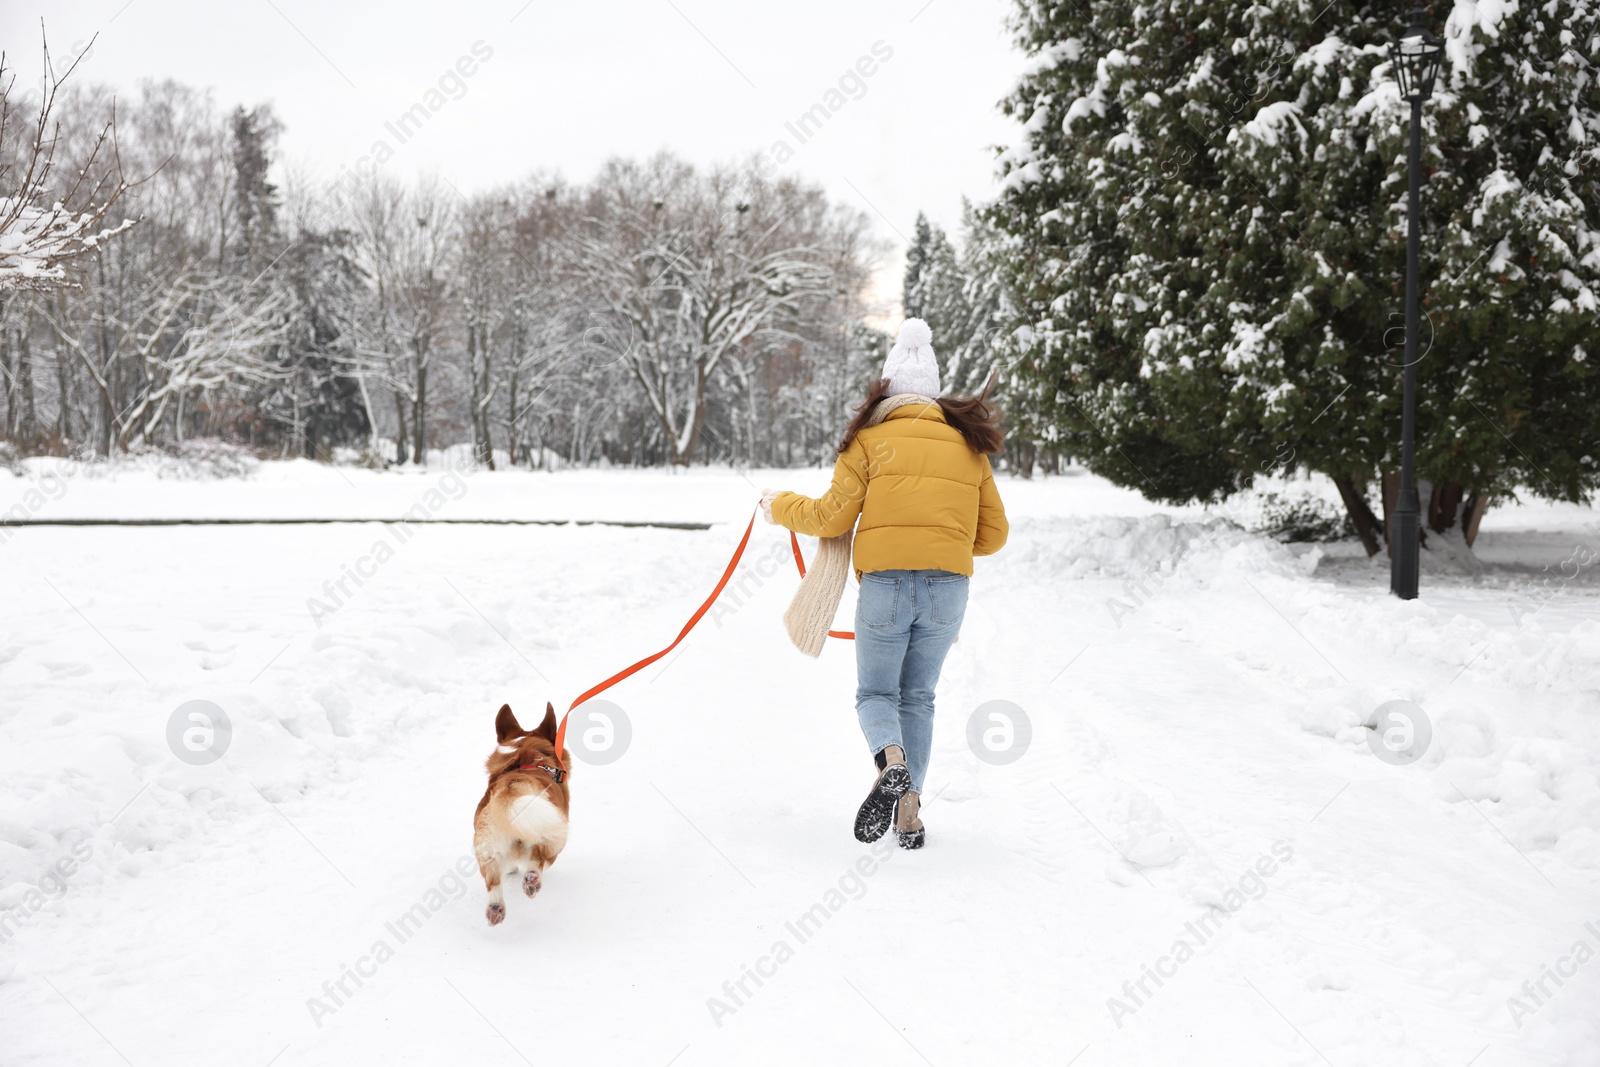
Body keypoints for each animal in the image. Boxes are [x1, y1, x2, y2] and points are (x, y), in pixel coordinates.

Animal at [470, 700, 572, 927]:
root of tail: (511, 789)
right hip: (554, 836)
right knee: (537, 859)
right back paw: (532, 882)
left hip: (486, 846)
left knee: (493, 881)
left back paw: (495, 910)